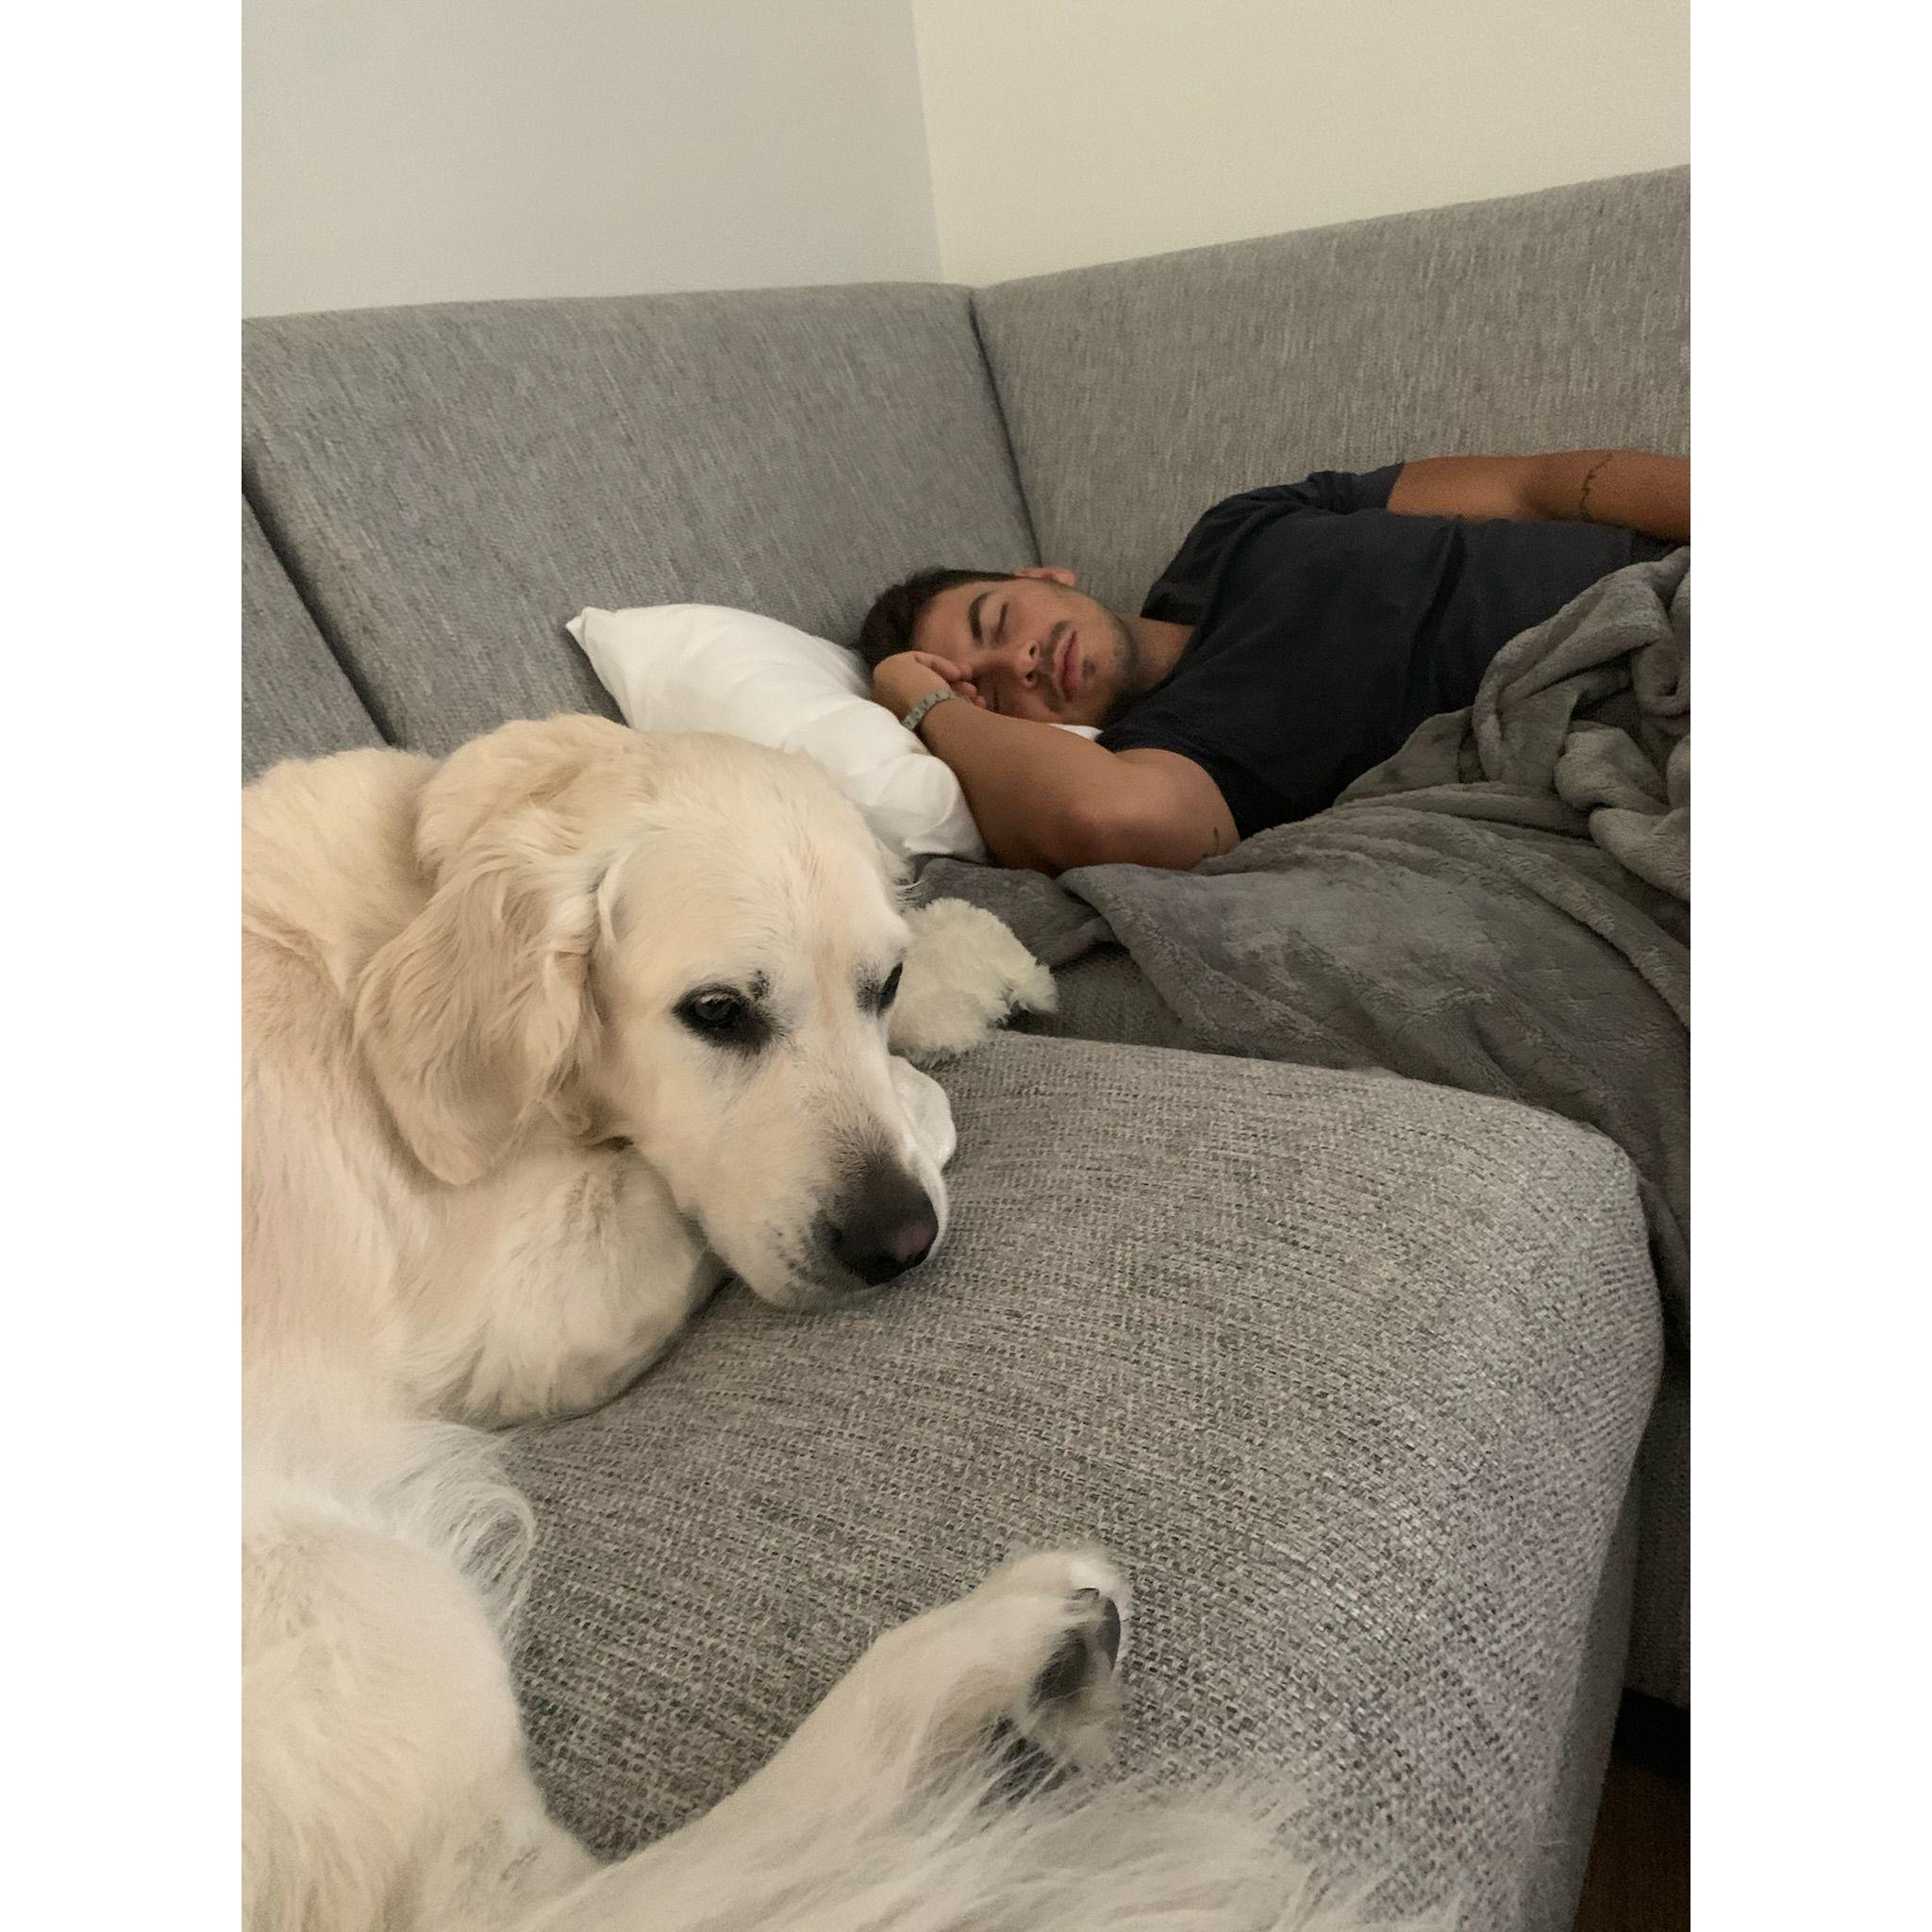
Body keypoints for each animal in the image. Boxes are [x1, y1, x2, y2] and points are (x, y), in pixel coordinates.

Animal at [242, 722, 1422, 1932]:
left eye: (877, 981)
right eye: (717, 1012)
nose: (897, 1240)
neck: (414, 888)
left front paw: (965, 965)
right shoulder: (535, 1307)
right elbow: (876, 1122)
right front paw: (923, 1086)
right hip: (322, 1571)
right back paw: (1001, 1652)